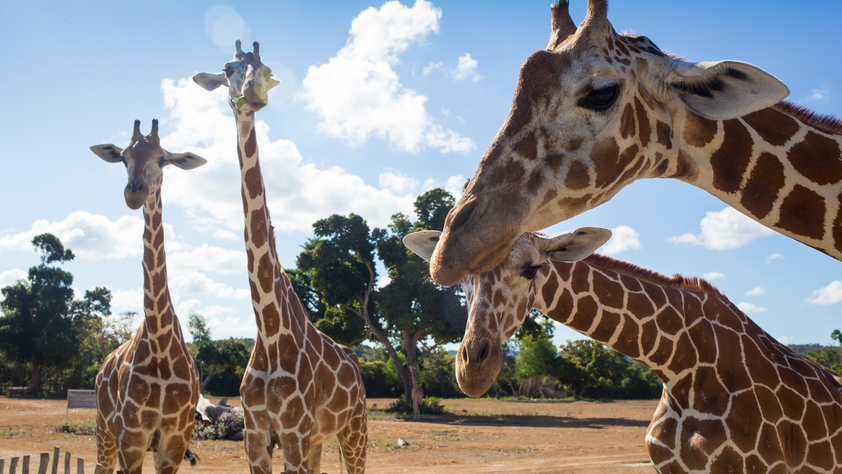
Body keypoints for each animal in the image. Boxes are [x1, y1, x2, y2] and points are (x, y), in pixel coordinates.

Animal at [90, 120, 205, 474]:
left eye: (163, 159)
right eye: (123, 158)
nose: (134, 192)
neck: (160, 347)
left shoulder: (175, 440)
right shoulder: (131, 438)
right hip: (104, 431)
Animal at [193, 40, 367, 474]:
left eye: (266, 69)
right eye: (228, 68)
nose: (253, 96)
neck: (269, 332)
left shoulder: (293, 433)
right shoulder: (256, 436)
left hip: (353, 430)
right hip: (320, 440)